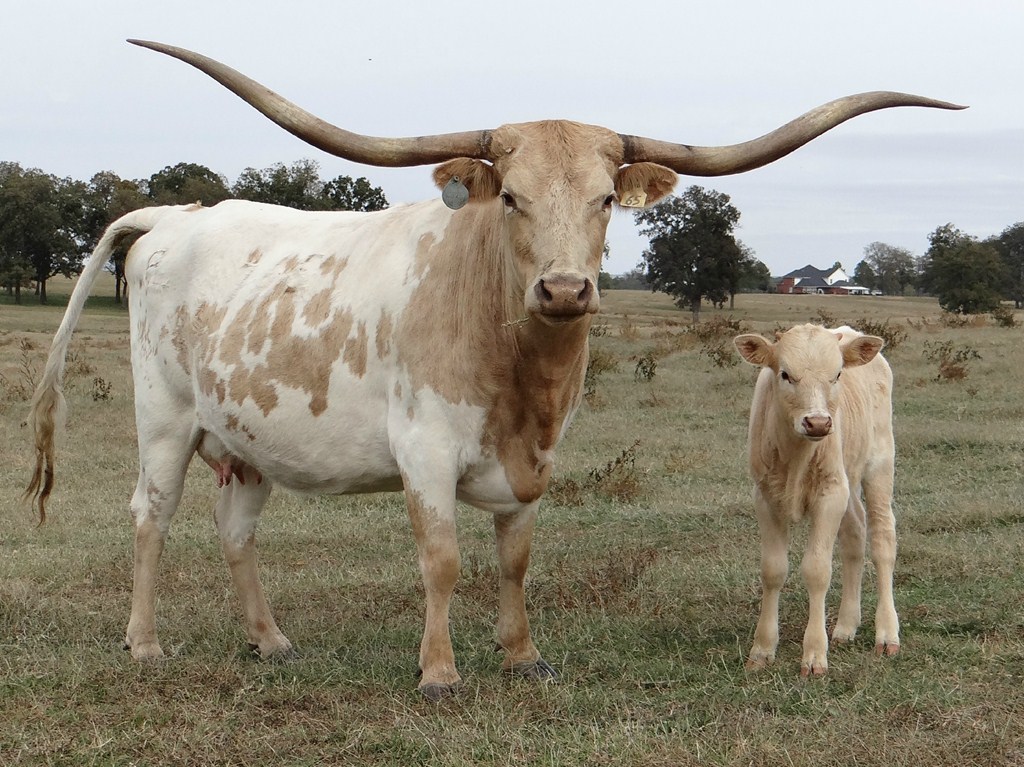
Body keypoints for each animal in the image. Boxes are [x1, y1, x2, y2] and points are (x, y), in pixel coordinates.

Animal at [734, 324, 899, 676]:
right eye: (785, 374)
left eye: (836, 375)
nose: (819, 423)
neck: (795, 454)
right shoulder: (765, 497)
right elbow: (773, 570)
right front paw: (762, 649)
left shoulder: (829, 497)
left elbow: (817, 570)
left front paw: (814, 654)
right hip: (846, 477)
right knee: (855, 534)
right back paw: (846, 626)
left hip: (879, 462)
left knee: (882, 540)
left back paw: (887, 634)